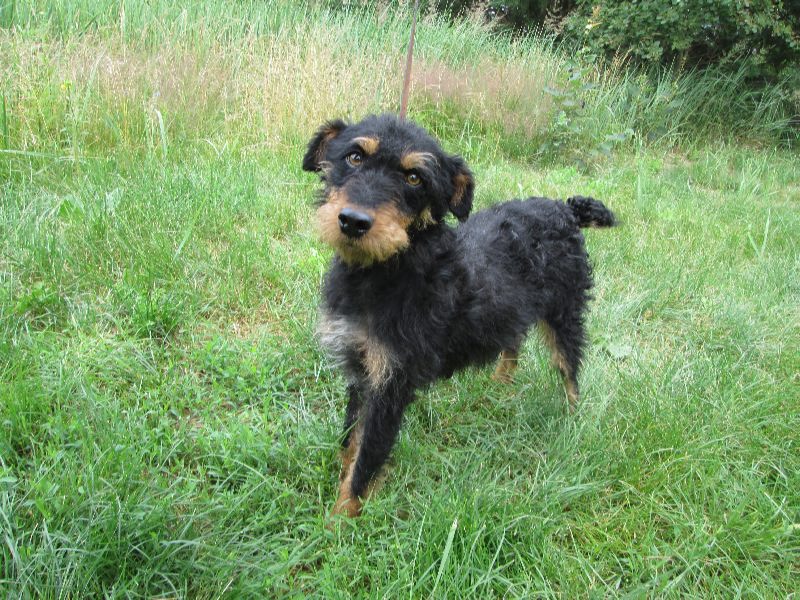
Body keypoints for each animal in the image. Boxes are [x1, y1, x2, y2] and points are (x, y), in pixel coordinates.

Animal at [302, 114, 616, 518]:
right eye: (354, 157)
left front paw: (341, 521)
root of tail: (567, 210)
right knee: (514, 341)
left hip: (566, 313)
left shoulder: (392, 384)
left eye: (414, 178)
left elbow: (366, 459)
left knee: (570, 369)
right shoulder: (361, 370)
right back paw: (499, 386)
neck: (390, 270)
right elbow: (348, 442)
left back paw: (571, 420)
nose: (353, 222)